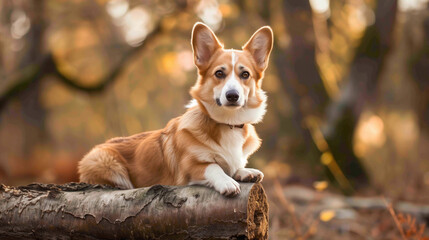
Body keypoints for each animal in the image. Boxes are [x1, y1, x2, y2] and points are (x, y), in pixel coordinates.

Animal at [78, 21, 272, 196]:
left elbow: (235, 166)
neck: (228, 123)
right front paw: (227, 182)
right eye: (219, 73)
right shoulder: (188, 170)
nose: (232, 95)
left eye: (245, 74)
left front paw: (246, 172)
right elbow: (213, 166)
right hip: (104, 160)